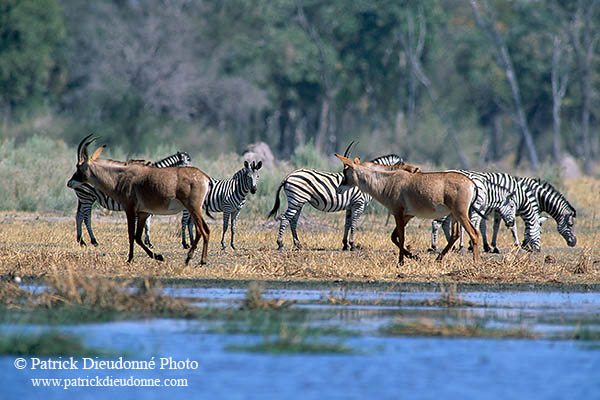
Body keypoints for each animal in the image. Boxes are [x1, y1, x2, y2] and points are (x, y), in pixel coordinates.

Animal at [67, 135, 211, 266]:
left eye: (78, 167)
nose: (70, 182)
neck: (120, 177)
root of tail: (205, 177)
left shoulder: (130, 209)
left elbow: (132, 234)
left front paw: (130, 258)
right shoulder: (143, 212)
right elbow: (138, 236)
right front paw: (158, 256)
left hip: (193, 208)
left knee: (204, 230)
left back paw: (199, 260)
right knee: (202, 230)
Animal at [270, 153, 406, 250]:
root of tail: (289, 176)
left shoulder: (350, 206)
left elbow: (347, 224)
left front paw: (345, 245)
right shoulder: (358, 204)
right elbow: (354, 224)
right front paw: (353, 245)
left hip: (298, 201)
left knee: (293, 221)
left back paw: (298, 244)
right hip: (296, 200)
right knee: (284, 218)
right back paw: (280, 245)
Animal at [336, 155, 480, 264]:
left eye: (345, 172)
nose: (338, 189)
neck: (387, 181)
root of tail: (471, 183)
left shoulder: (398, 212)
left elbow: (401, 237)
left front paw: (401, 262)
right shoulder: (407, 215)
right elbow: (394, 237)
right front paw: (414, 257)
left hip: (460, 213)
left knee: (474, 233)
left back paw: (475, 262)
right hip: (454, 215)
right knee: (456, 234)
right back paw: (438, 259)